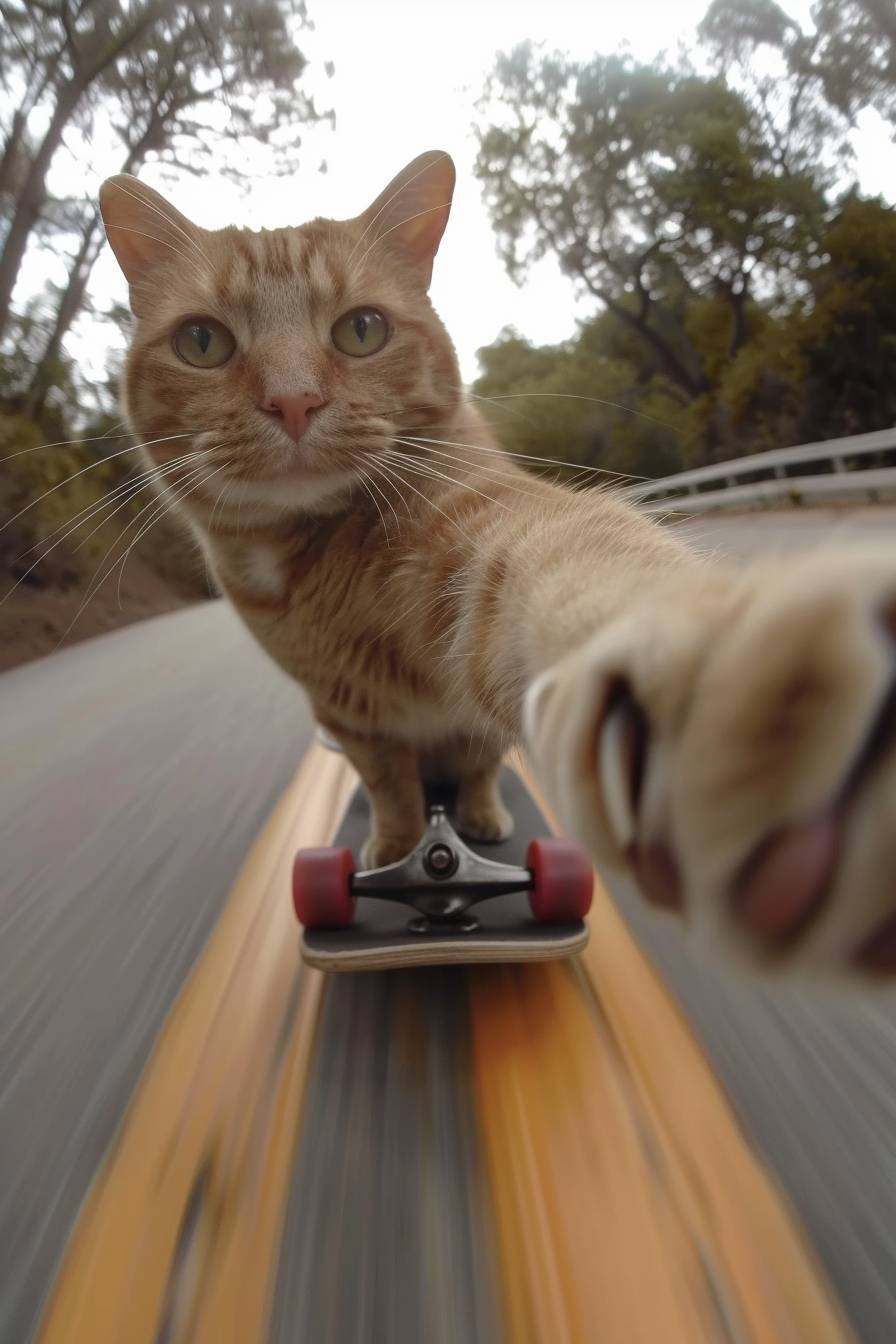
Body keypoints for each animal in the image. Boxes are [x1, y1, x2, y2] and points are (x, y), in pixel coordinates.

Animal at [100, 152, 896, 978]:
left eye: (362, 329)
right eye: (202, 343)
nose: (294, 402)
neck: (311, 559)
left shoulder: (474, 540)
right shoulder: (348, 711)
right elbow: (389, 786)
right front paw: (392, 842)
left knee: (480, 765)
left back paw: (481, 819)